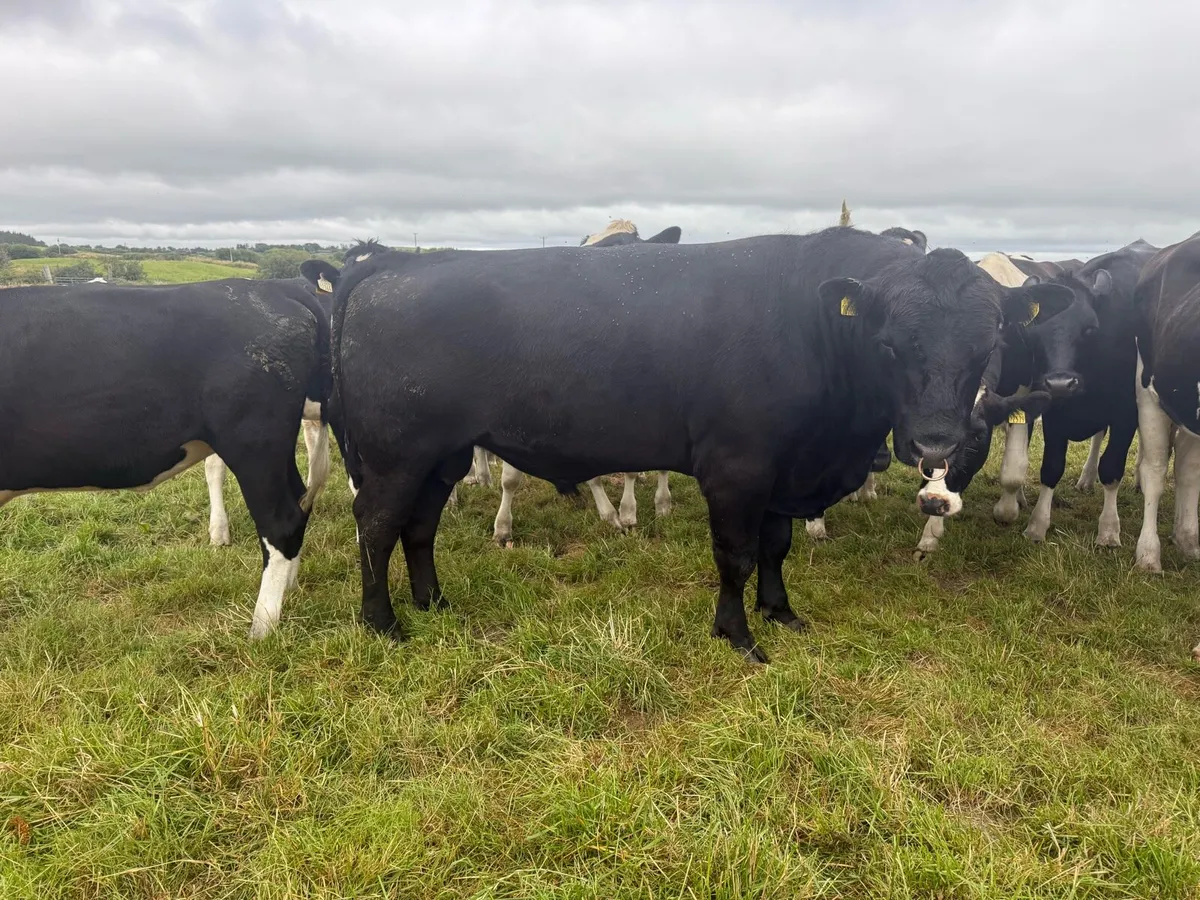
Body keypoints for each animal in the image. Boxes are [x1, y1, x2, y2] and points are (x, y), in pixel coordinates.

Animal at [0, 278, 330, 638]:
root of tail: (271, 287)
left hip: (254, 443)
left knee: (281, 521)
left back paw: (262, 629)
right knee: (300, 500)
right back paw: (290, 587)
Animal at [301, 226, 1065, 663]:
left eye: (989, 343)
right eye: (890, 343)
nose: (935, 441)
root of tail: (388, 265)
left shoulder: (784, 470)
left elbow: (776, 547)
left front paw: (781, 612)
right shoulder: (737, 467)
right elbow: (736, 553)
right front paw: (739, 635)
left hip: (444, 455)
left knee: (419, 527)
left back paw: (434, 603)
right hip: (398, 455)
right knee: (377, 524)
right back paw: (383, 623)